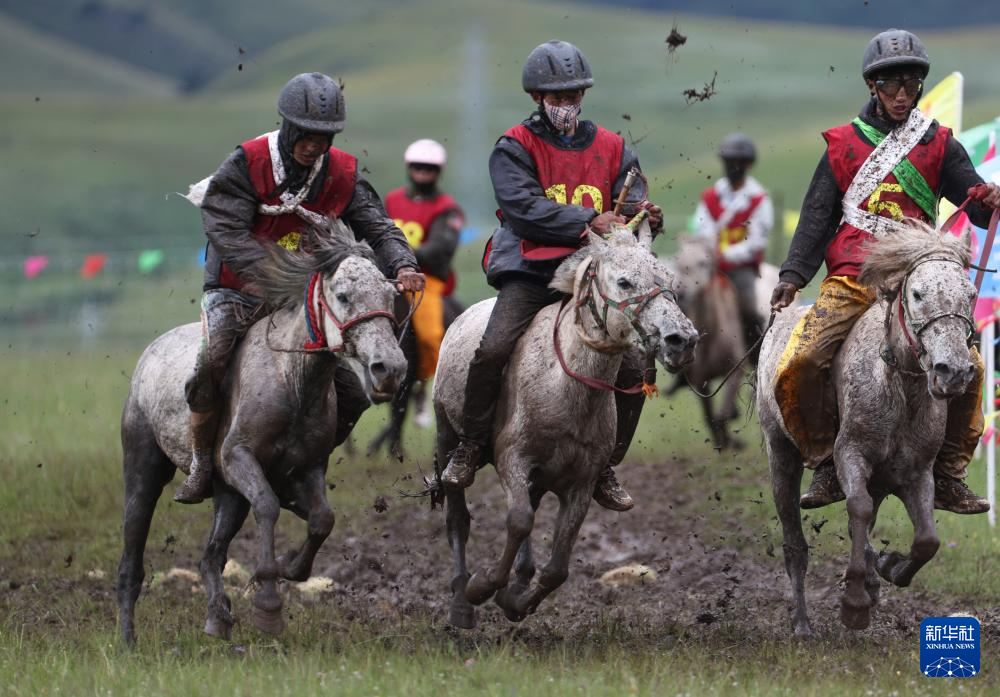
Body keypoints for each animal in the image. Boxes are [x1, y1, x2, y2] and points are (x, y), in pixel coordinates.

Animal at [119, 222, 408, 640]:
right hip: (144, 467)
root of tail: (148, 357)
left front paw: (290, 567)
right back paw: (127, 637)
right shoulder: (238, 457)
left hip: (227, 495)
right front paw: (268, 603)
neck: (291, 380)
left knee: (211, 556)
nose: (391, 369)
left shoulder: (309, 466)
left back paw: (218, 618)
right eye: (342, 295)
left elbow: (322, 519)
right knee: (133, 552)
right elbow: (268, 506)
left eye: (390, 294)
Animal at [434, 220, 700, 628]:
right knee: (458, 517)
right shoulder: (513, 459)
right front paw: (483, 587)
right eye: (624, 282)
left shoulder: (581, 483)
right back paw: (461, 603)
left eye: (669, 278)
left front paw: (515, 601)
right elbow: (519, 521)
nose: (681, 340)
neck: (566, 387)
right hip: (447, 437)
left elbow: (558, 566)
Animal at [756, 224, 976, 636]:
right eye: (917, 293)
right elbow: (857, 509)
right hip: (781, 453)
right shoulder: (851, 455)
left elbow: (927, 539)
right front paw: (854, 603)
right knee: (795, 543)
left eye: (970, 294)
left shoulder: (917, 472)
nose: (953, 371)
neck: (898, 385)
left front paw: (890, 568)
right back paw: (802, 622)